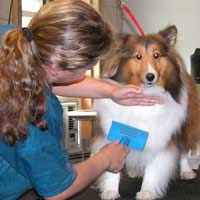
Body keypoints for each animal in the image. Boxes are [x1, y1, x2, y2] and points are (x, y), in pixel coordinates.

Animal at [91, 26, 200, 200]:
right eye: (138, 56)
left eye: (156, 55)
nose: (150, 77)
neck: (145, 94)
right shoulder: (113, 131)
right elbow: (113, 165)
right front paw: (110, 190)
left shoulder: (160, 135)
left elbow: (153, 167)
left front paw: (147, 191)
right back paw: (135, 170)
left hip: (185, 125)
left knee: (183, 150)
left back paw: (187, 171)